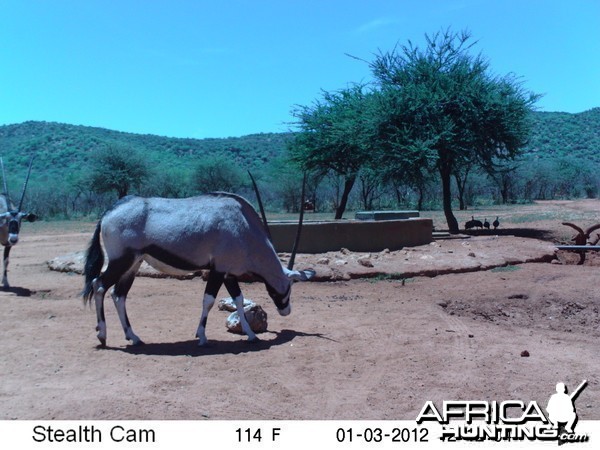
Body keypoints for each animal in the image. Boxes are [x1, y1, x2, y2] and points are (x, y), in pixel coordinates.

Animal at [0, 157, 36, 288]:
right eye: (7, 219)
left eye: (21, 220)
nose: (14, 238)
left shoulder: (8, 244)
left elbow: (6, 260)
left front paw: (5, 282)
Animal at [82, 192, 316, 346]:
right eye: (289, 286)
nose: (286, 310)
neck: (243, 224)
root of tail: (109, 212)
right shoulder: (218, 271)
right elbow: (209, 300)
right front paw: (202, 337)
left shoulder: (229, 273)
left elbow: (239, 300)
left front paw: (251, 335)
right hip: (121, 260)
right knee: (99, 285)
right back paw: (102, 335)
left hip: (133, 265)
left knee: (119, 294)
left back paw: (134, 337)